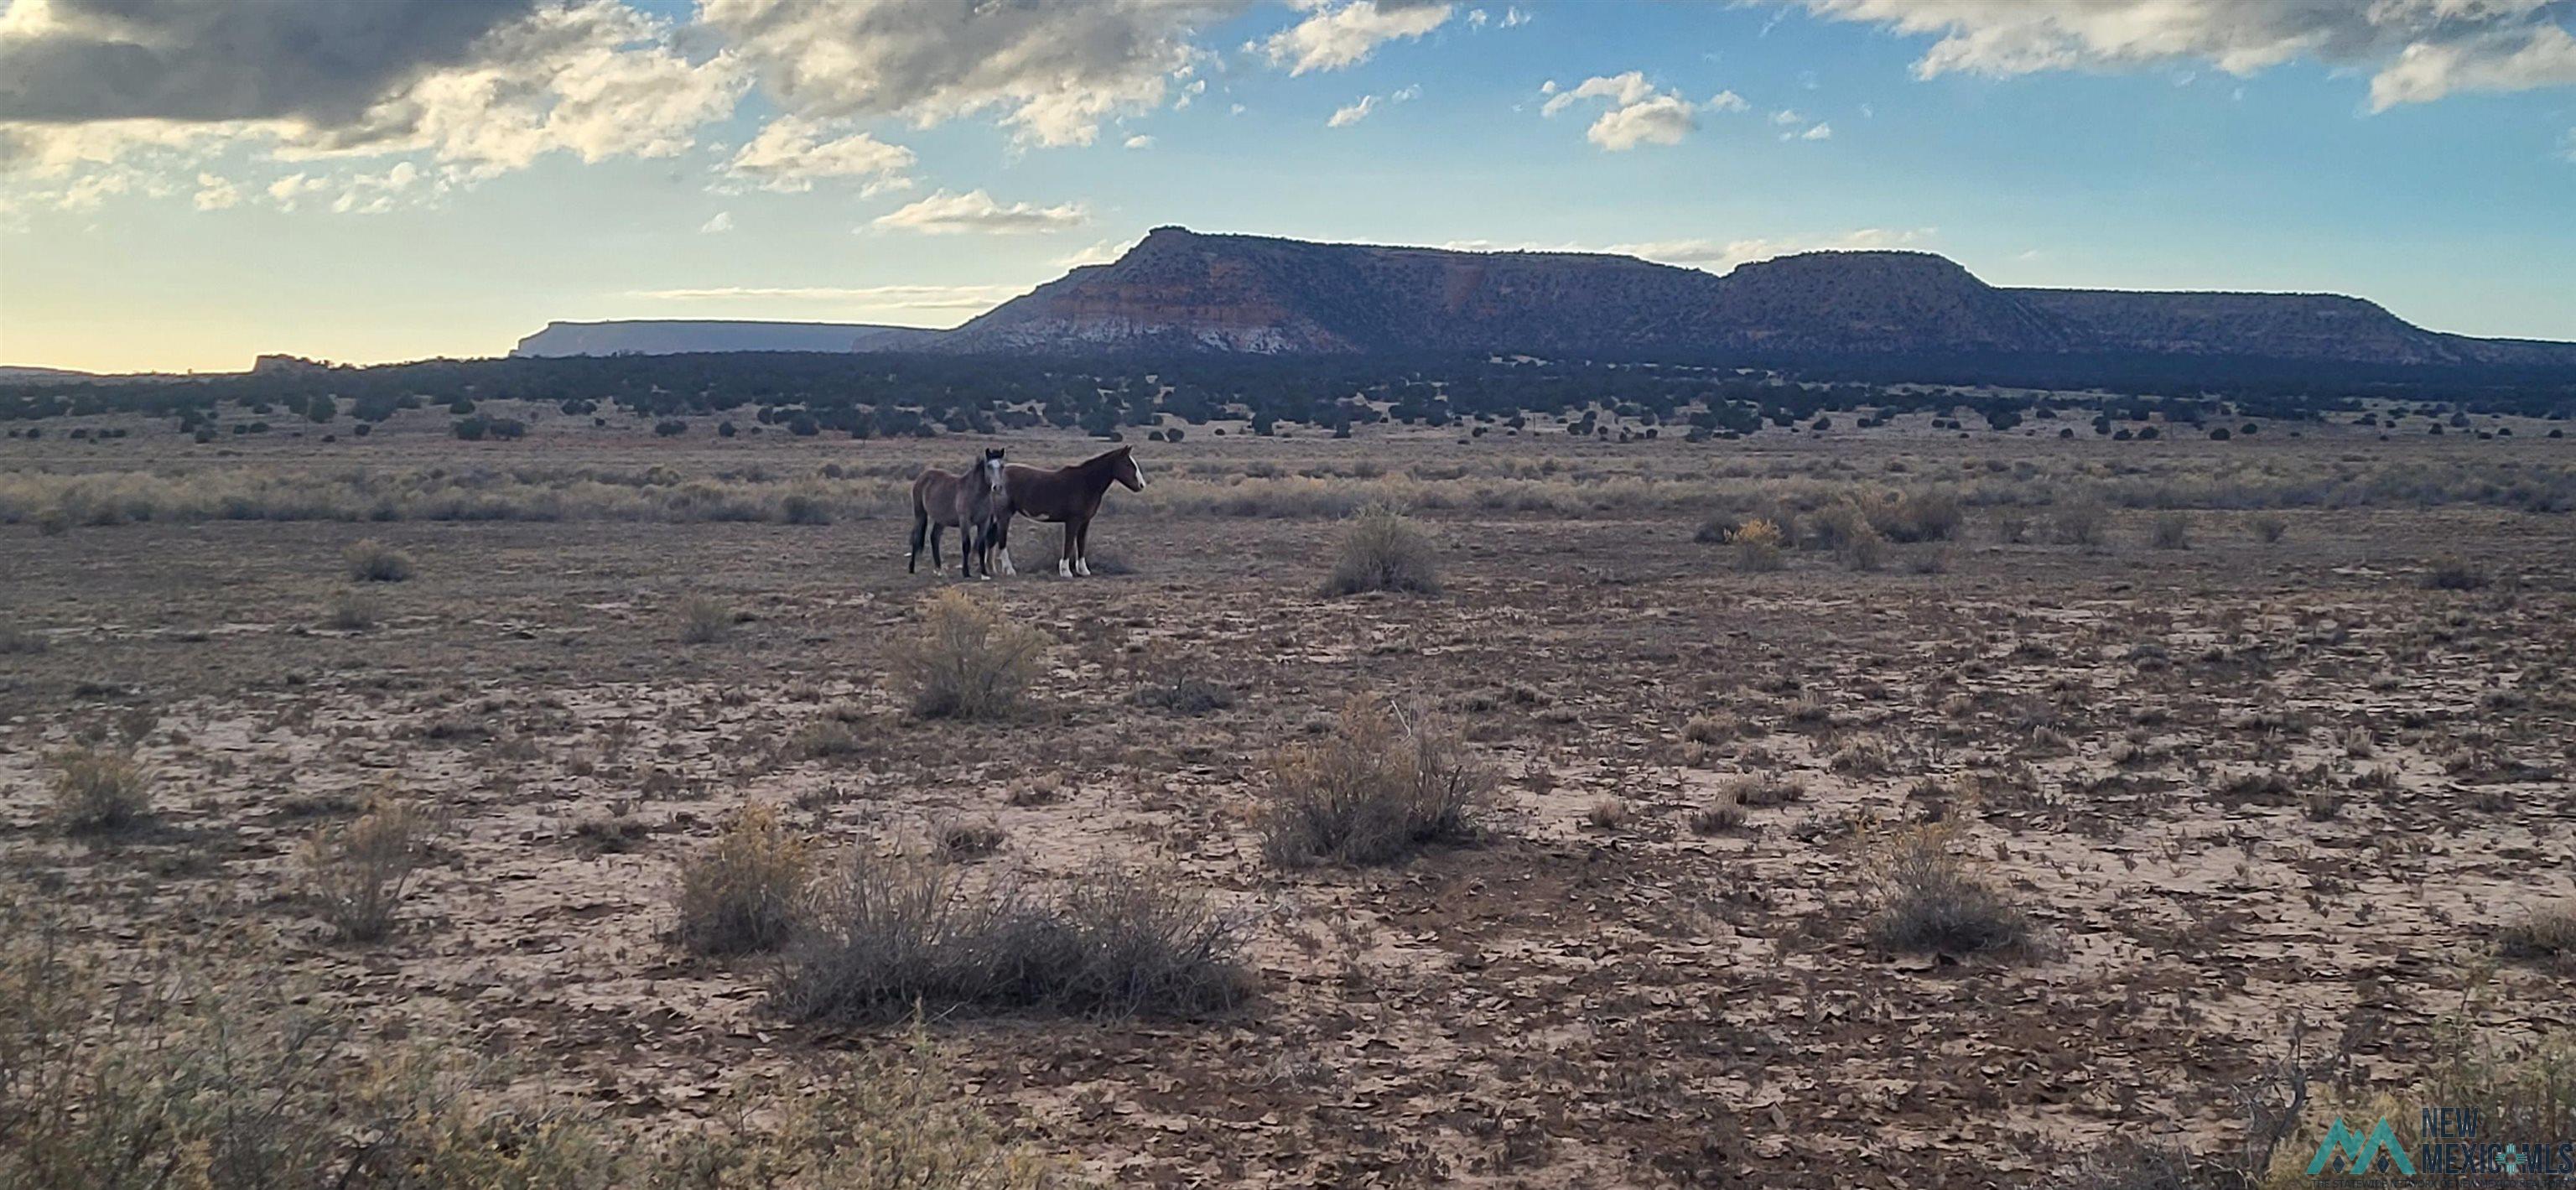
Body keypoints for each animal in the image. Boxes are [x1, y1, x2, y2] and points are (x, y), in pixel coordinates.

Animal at [906, 448, 1005, 579]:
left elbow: (981, 547)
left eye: (1002, 466)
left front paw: (984, 573)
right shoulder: (965, 522)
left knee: (934, 537)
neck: (975, 493)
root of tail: (922, 476)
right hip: (920, 515)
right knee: (916, 537)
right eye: (989, 466)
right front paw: (966, 572)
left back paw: (939, 569)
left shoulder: (984, 523)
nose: (997, 487)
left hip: (941, 520)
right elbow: (966, 545)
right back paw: (912, 568)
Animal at [989, 443, 1143, 579]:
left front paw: (1083, 571)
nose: (1142, 485)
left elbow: (1081, 543)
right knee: (1002, 540)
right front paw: (1065, 571)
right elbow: (1069, 544)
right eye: (1128, 464)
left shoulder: (1085, 522)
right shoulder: (1073, 521)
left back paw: (992, 569)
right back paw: (1009, 570)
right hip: (1004, 515)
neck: (1086, 483)